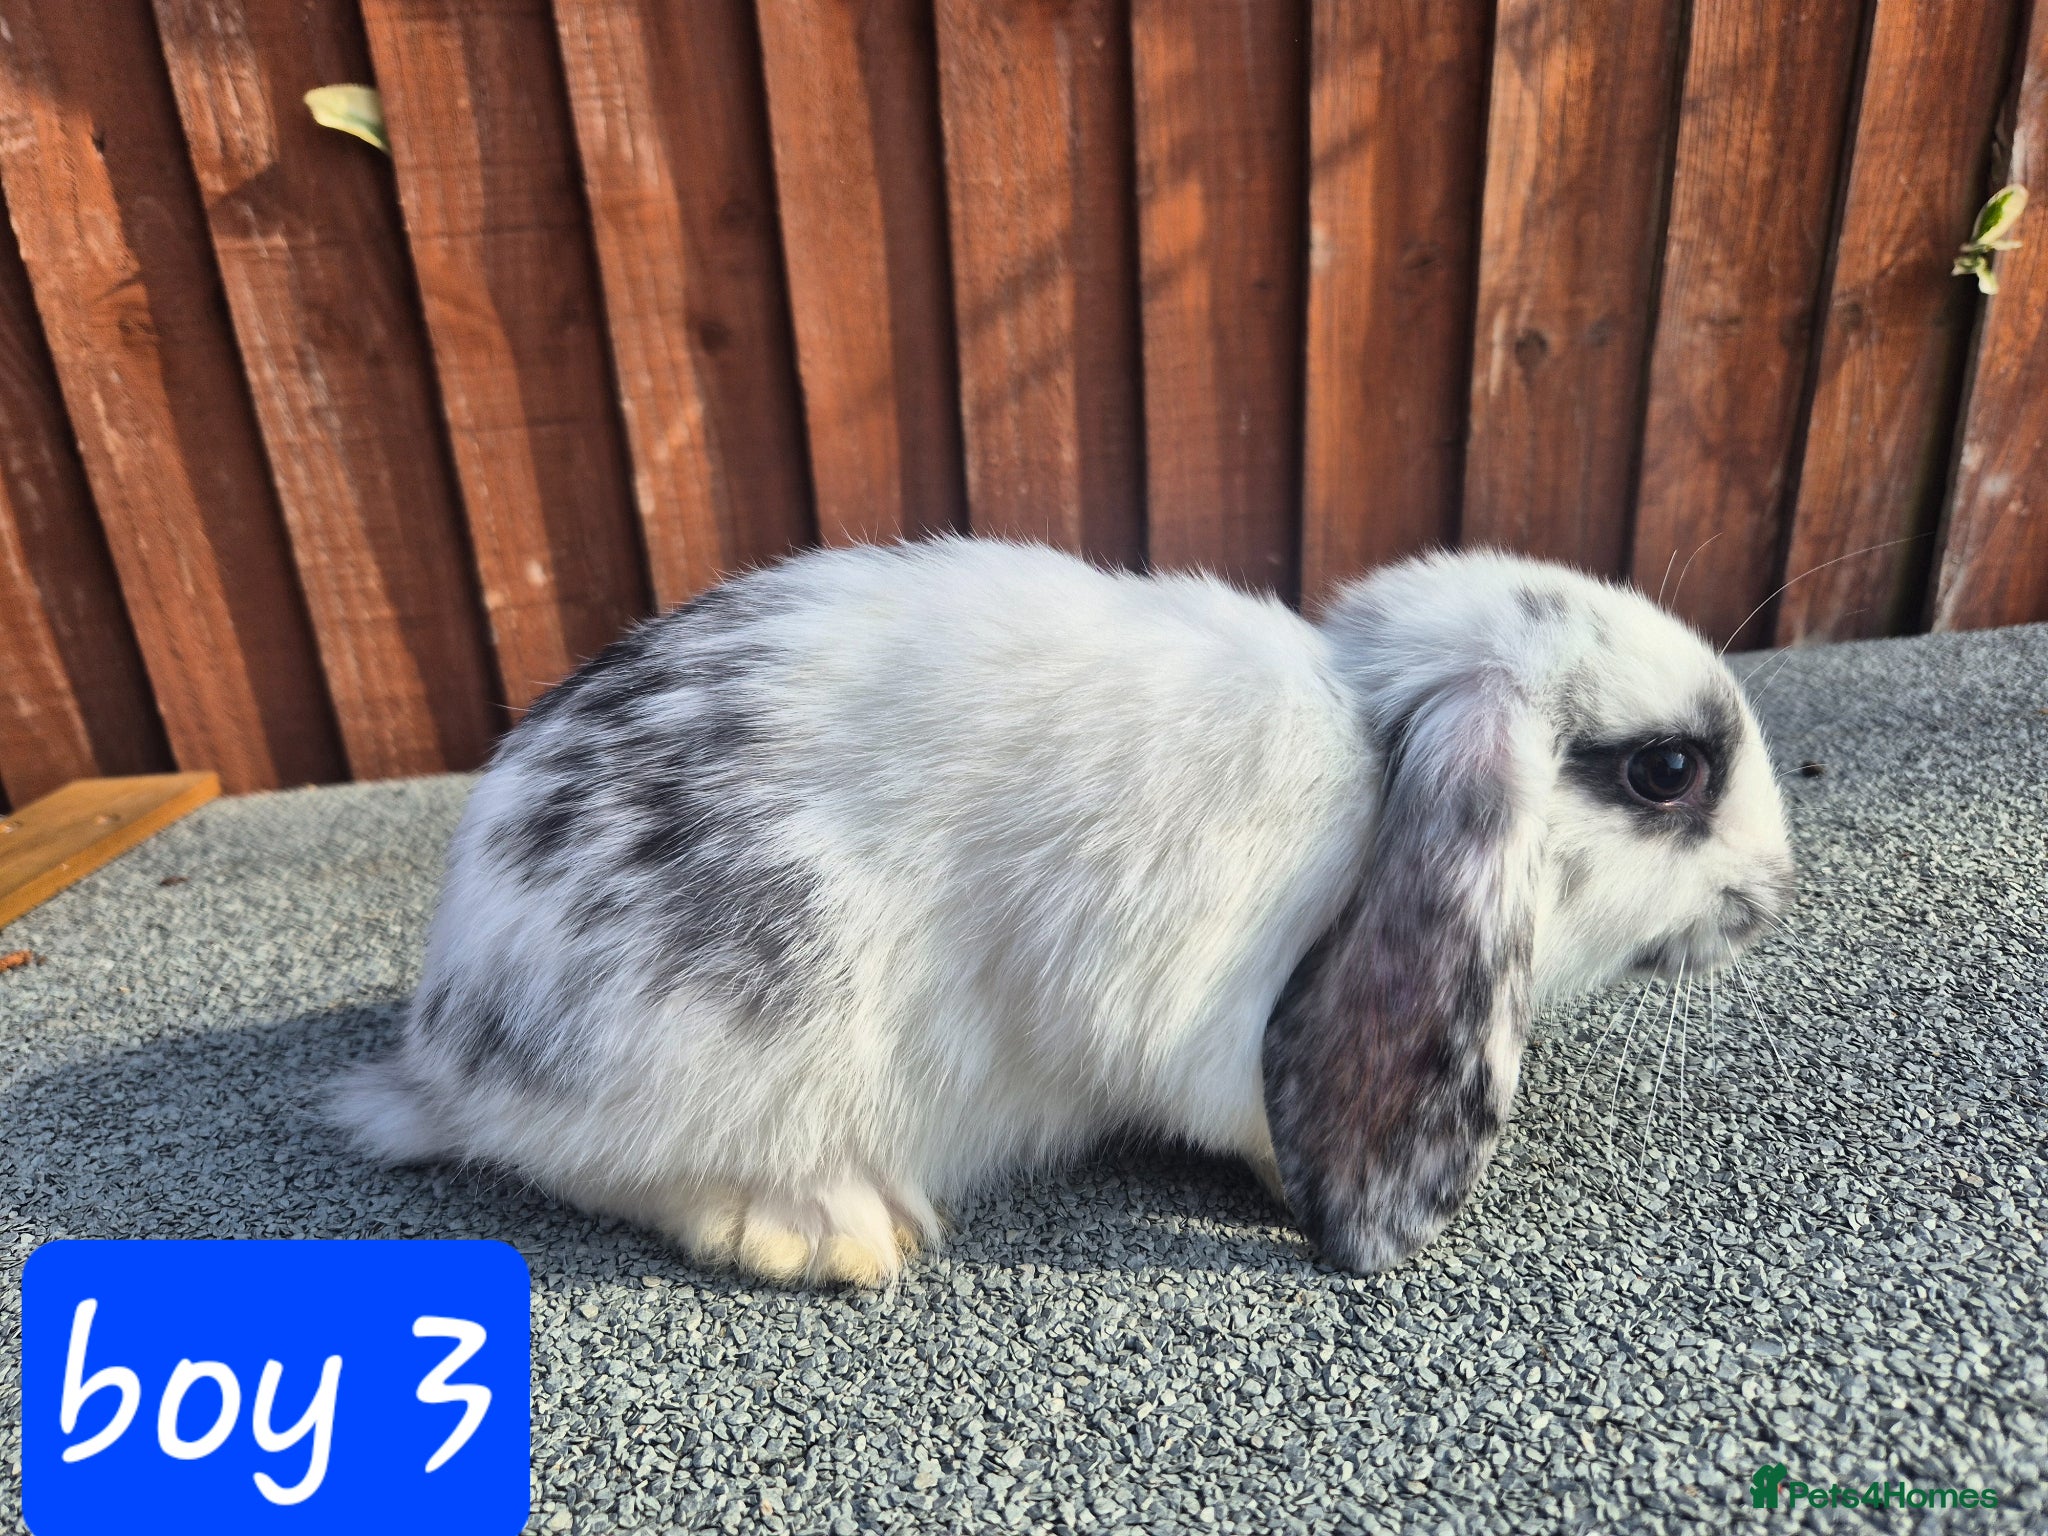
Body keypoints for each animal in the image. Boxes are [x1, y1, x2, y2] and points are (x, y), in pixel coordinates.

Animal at [332, 537, 1794, 1286]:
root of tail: (450, 1044)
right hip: (734, 1031)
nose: (1773, 889)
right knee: (603, 1167)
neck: (1372, 756)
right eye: (1668, 771)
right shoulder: (1212, 1021)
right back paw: (827, 1229)